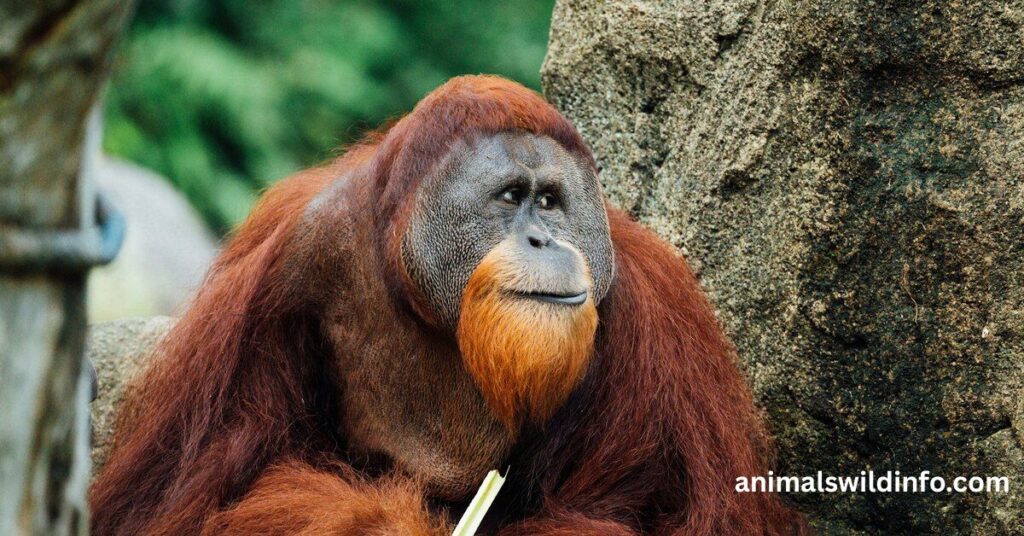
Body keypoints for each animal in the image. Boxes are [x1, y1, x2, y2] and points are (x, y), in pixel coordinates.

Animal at [90, 75, 804, 535]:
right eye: (511, 197)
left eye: (550, 201)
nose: (545, 239)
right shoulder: (282, 264)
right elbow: (202, 495)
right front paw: (381, 522)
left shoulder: (652, 306)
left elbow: (659, 515)